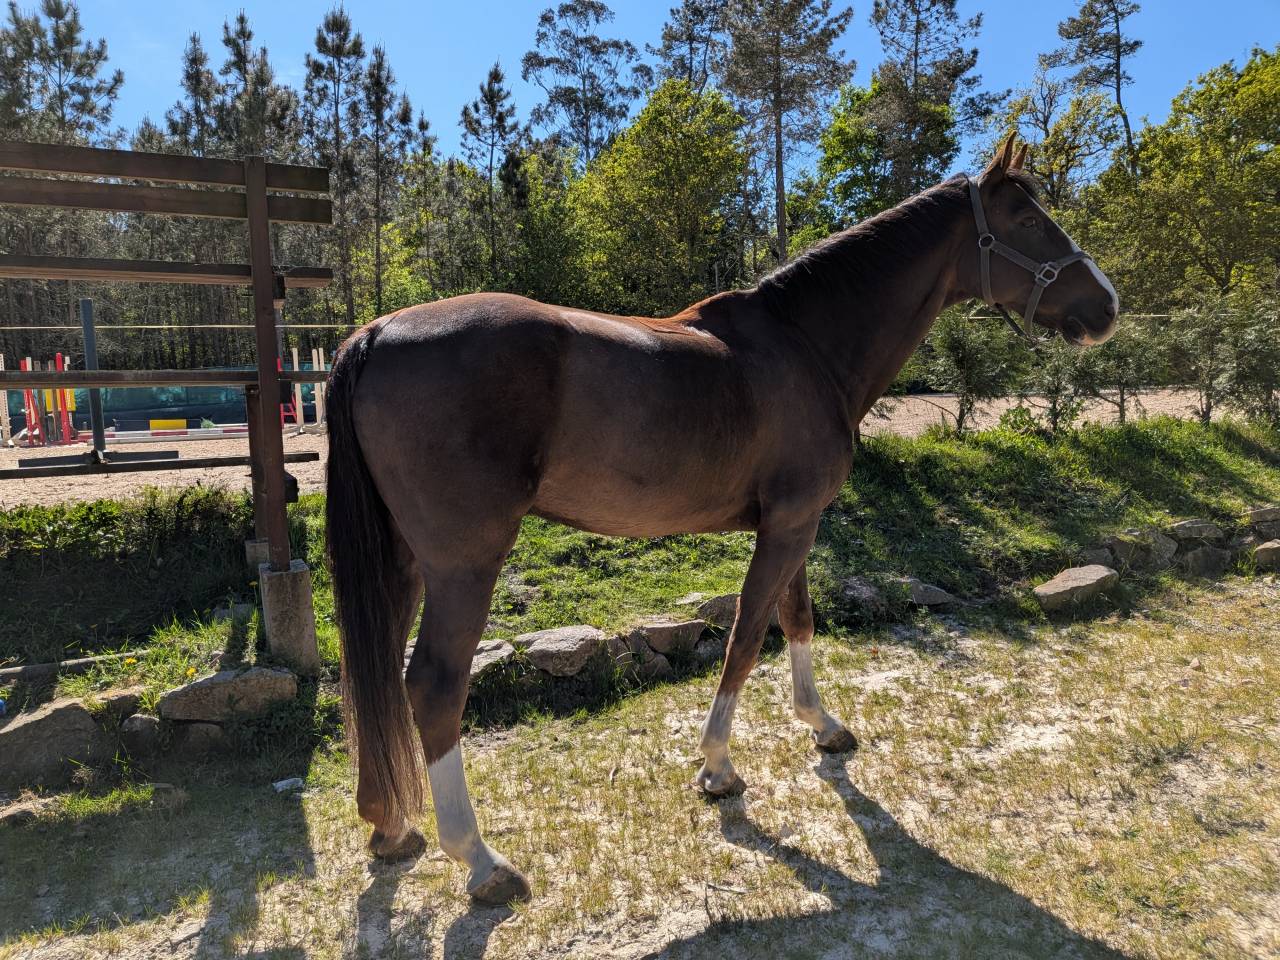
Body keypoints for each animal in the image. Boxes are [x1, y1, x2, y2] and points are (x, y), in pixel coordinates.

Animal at [324, 135, 1119, 905]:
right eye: (1027, 221)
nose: (1107, 306)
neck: (805, 344)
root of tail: (376, 333)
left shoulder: (795, 522)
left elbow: (797, 619)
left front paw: (822, 726)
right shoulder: (791, 524)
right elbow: (746, 634)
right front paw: (718, 767)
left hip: (402, 562)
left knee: (375, 671)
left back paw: (390, 827)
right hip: (464, 563)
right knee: (433, 686)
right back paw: (481, 862)